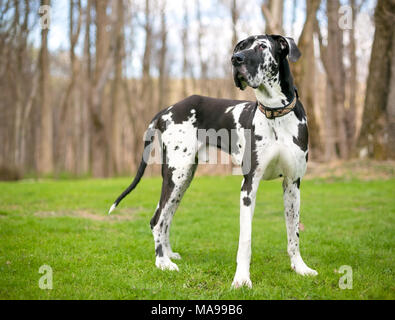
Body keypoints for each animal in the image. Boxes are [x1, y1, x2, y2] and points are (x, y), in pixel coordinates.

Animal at [108, 34, 318, 288]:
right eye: (241, 46)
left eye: (262, 46)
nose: (236, 59)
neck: (275, 114)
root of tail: (166, 109)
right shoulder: (248, 187)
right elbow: (245, 240)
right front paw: (242, 279)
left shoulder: (292, 184)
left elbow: (293, 233)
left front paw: (300, 267)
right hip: (176, 175)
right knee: (157, 220)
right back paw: (162, 263)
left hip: (182, 178)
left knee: (165, 218)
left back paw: (168, 254)